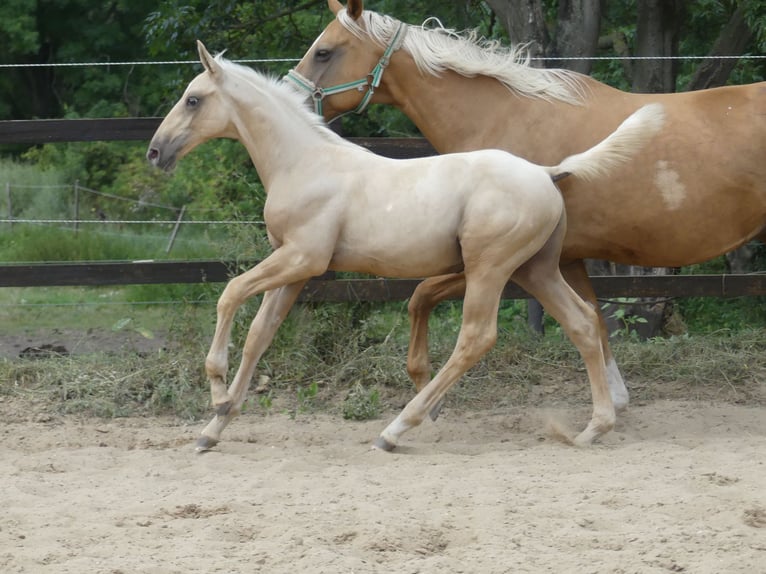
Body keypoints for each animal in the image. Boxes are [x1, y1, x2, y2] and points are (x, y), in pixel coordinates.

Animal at [147, 40, 664, 454]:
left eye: (193, 99)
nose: (155, 152)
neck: (306, 162)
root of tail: (546, 172)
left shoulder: (302, 257)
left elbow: (230, 292)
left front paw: (217, 393)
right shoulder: (295, 270)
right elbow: (259, 334)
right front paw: (214, 428)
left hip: (491, 268)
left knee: (476, 337)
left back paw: (396, 429)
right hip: (535, 269)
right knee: (583, 322)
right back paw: (593, 429)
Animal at [288, 0, 766, 416]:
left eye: (324, 51)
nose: (290, 103)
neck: (506, 119)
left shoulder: (502, 263)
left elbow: (421, 295)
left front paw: (426, 392)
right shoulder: (563, 261)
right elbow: (593, 319)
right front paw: (613, 402)